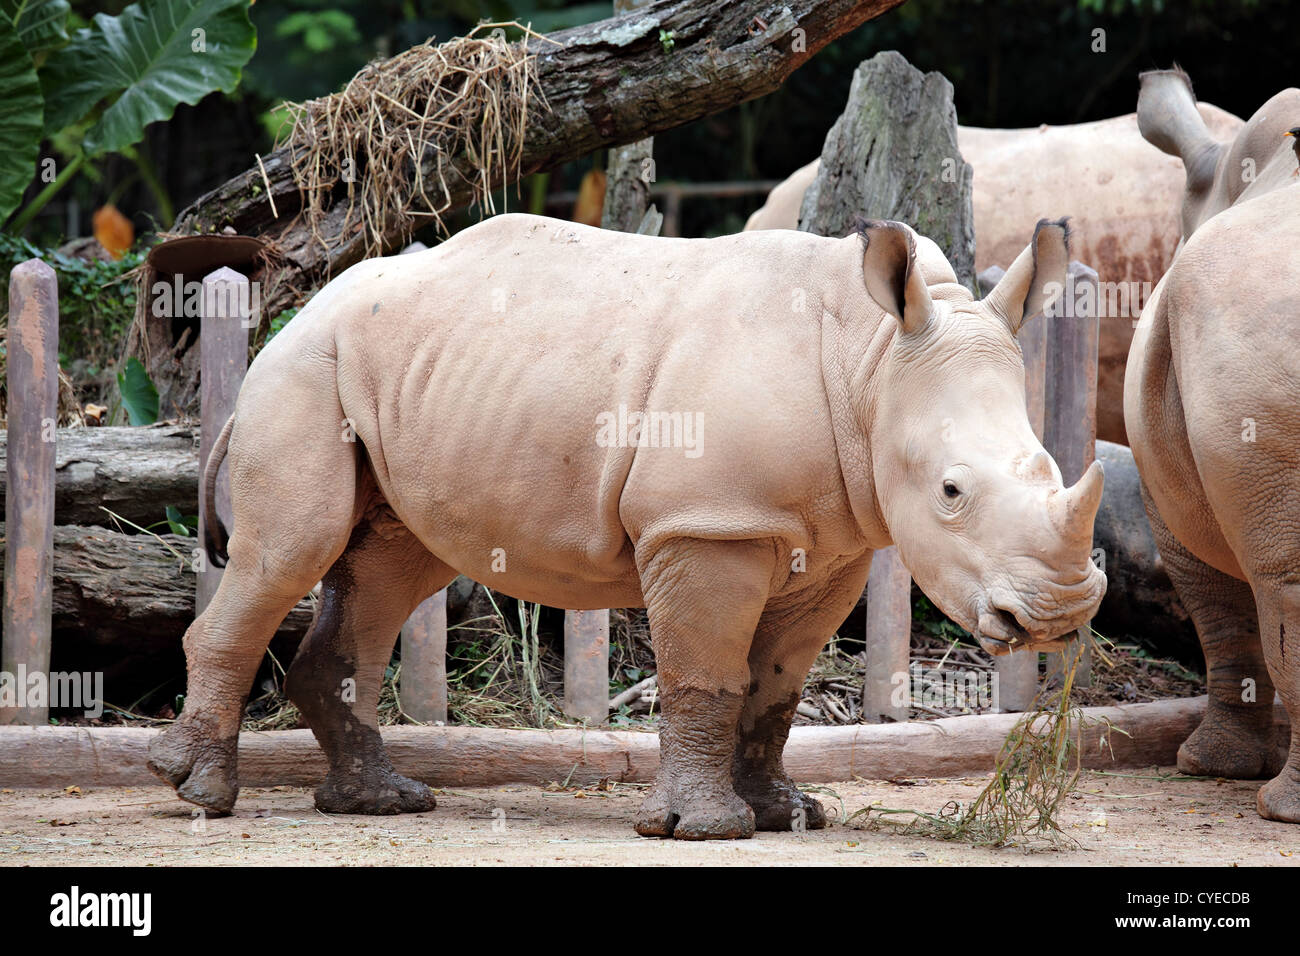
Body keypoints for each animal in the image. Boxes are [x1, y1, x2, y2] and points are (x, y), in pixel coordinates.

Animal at [148, 213, 1106, 840]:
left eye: (1051, 471)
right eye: (951, 492)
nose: (1056, 618)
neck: (872, 364)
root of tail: (294, 314)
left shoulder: (830, 545)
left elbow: (776, 684)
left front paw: (787, 815)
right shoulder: (706, 525)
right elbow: (707, 673)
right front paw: (705, 828)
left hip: (392, 373)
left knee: (391, 565)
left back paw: (381, 801)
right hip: (304, 371)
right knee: (289, 553)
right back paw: (199, 794)